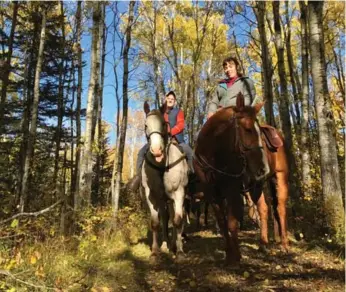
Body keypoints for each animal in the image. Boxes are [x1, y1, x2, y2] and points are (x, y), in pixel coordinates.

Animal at [141, 101, 189, 260]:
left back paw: (174, 244)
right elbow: (156, 223)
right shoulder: (152, 196)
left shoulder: (179, 193)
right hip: (164, 200)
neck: (162, 165)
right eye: (146, 125)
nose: (157, 151)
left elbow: (178, 221)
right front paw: (155, 251)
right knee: (165, 217)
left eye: (163, 124)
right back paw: (166, 244)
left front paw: (179, 251)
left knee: (176, 218)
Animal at [195, 93, 290, 264]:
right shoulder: (212, 193)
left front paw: (236, 257)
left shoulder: (232, 189)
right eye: (247, 129)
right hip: (256, 185)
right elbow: (222, 222)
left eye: (259, 132)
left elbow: (232, 222)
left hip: (280, 176)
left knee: (280, 208)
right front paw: (228, 253)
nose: (263, 168)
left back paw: (284, 245)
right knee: (263, 208)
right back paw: (263, 244)